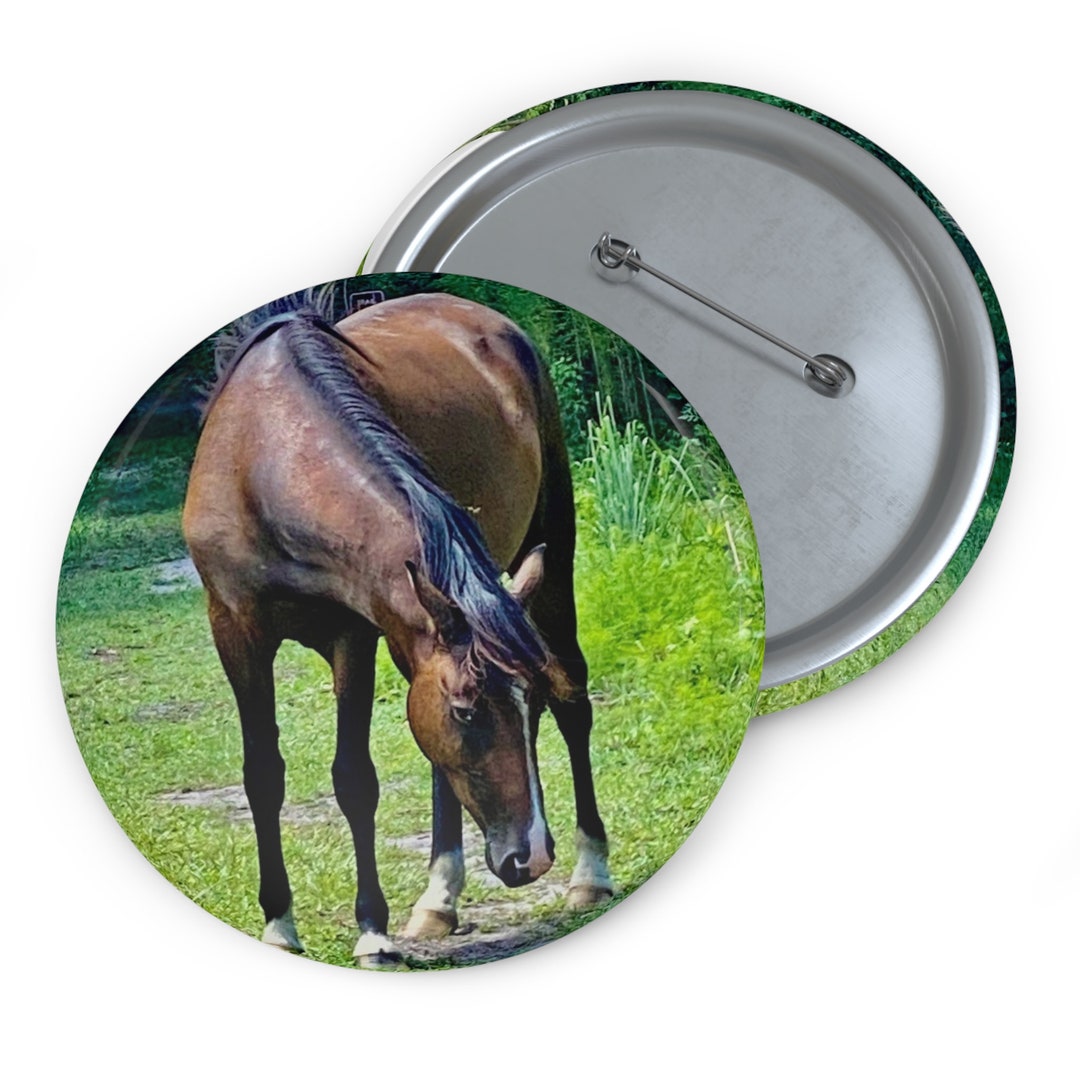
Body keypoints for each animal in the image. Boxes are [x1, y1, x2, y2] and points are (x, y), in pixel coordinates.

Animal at [182, 292, 613, 966]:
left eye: (530, 703)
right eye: (465, 710)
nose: (533, 855)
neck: (265, 458)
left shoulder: (354, 634)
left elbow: (354, 778)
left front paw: (372, 933)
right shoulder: (235, 627)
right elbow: (263, 775)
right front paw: (280, 925)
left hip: (552, 553)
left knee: (575, 698)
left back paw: (590, 873)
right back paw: (439, 899)